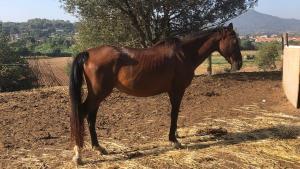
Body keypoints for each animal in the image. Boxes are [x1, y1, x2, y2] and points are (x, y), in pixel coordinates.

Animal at [69, 23, 243, 164]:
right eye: (234, 41)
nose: (239, 64)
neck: (183, 54)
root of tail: (87, 53)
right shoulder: (177, 90)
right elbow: (174, 114)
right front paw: (174, 140)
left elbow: (174, 114)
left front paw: (175, 136)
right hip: (98, 93)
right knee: (82, 113)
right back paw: (78, 155)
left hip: (97, 95)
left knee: (91, 117)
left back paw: (98, 148)